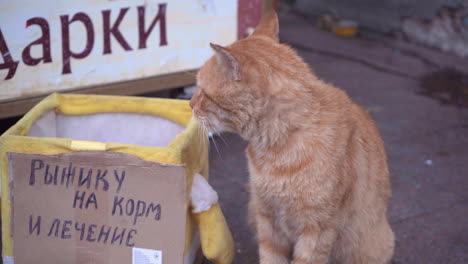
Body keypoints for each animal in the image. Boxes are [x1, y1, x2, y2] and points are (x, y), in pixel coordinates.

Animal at [190, 10, 394, 264]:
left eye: (201, 91)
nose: (189, 105)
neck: (279, 145)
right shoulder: (266, 217)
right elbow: (270, 256)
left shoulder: (317, 229)